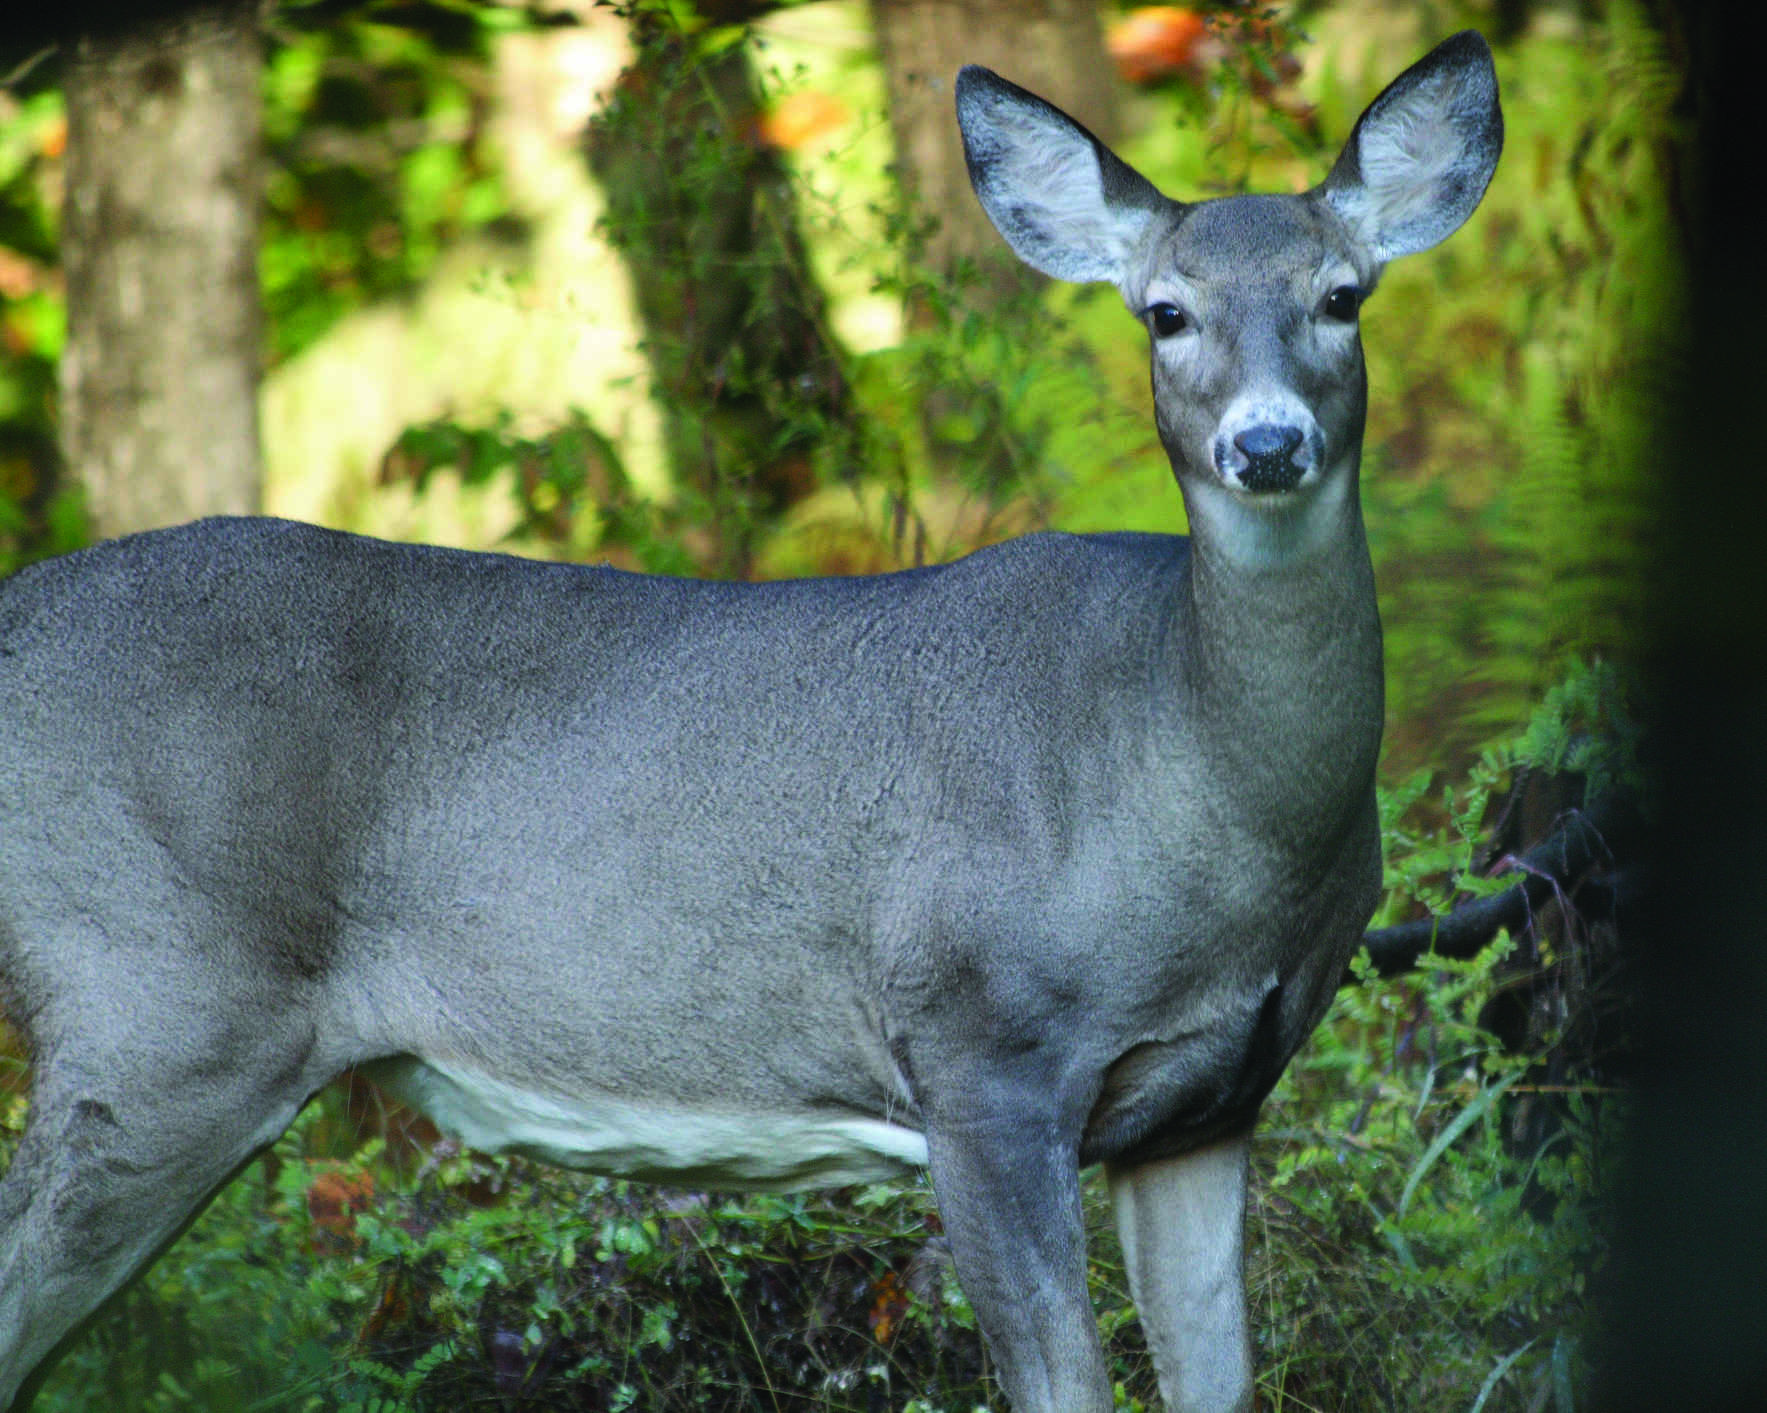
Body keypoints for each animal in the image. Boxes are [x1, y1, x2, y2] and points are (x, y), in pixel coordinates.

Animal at [0, 31, 1500, 1412]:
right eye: (1164, 314)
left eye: (1342, 296)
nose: (1265, 445)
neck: (1190, 766)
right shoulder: (977, 1045)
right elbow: (1061, 1382)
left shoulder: (1210, 1102)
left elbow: (1216, 1379)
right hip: (152, 1002)